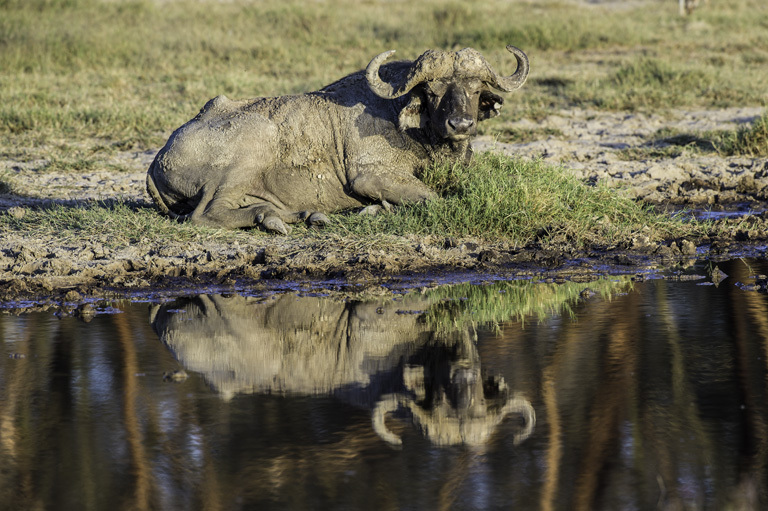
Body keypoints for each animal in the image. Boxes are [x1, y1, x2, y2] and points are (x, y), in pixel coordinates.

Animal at [146, 46, 528, 234]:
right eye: (432, 91)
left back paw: (304, 215)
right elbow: (432, 198)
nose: (459, 123)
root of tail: (158, 159)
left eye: (475, 89)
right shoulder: (370, 176)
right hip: (248, 150)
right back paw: (273, 220)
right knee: (205, 214)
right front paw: (376, 208)